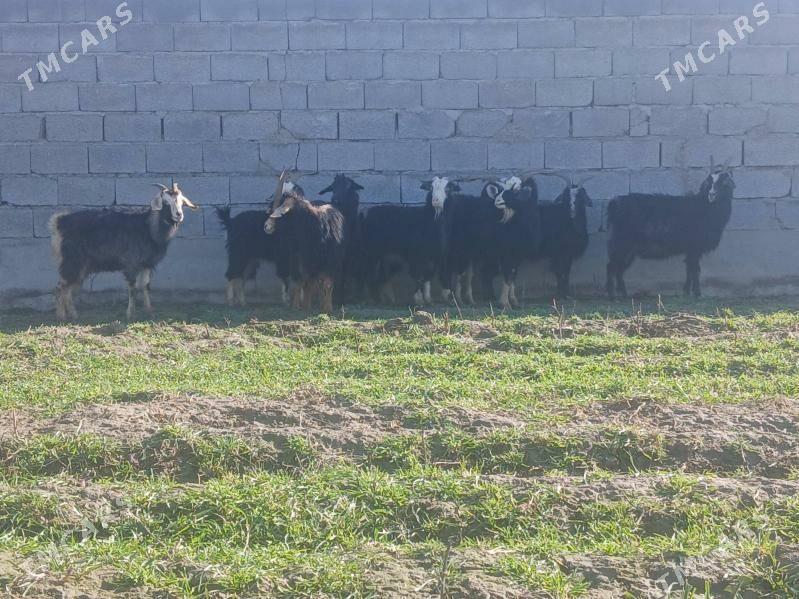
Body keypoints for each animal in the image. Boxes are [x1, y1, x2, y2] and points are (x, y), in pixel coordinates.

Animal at [50, 183, 198, 321]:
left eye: (181, 202)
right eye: (166, 202)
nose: (179, 215)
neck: (149, 228)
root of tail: (59, 221)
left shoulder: (146, 264)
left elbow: (145, 286)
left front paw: (150, 312)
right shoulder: (131, 263)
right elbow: (132, 288)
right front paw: (130, 314)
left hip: (81, 266)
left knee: (68, 287)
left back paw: (73, 315)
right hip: (71, 260)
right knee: (61, 286)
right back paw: (61, 317)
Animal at [264, 171, 345, 314]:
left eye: (280, 208)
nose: (266, 226)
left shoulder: (330, 261)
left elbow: (327, 284)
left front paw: (327, 309)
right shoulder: (301, 260)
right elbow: (303, 283)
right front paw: (300, 307)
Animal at [319, 174, 363, 304]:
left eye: (348, 186)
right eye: (333, 187)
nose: (335, 200)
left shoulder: (351, 255)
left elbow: (345, 274)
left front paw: (342, 298)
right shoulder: (337, 254)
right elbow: (337, 275)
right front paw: (337, 298)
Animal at [359, 176, 460, 305]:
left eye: (447, 189)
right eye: (431, 188)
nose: (435, 200)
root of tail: (364, 213)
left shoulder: (436, 255)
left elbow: (428, 276)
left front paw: (428, 299)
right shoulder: (416, 255)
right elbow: (418, 276)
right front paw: (418, 299)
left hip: (386, 256)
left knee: (380, 276)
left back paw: (383, 299)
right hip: (371, 252)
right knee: (366, 272)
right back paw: (369, 299)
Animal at [606, 163, 735, 299]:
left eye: (723, 182)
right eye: (709, 182)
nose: (712, 194)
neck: (704, 207)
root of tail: (614, 203)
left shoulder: (691, 250)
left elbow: (690, 269)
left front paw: (687, 292)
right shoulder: (694, 247)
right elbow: (694, 270)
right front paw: (697, 294)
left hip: (629, 249)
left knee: (618, 270)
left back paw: (623, 295)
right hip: (621, 243)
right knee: (611, 267)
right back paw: (612, 296)